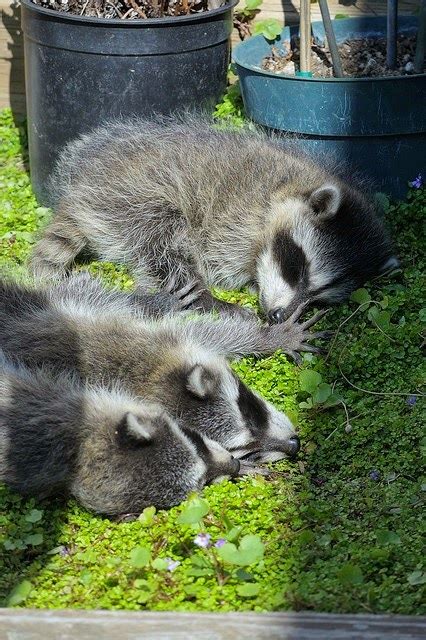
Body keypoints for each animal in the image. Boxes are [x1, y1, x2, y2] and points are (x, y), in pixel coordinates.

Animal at [0, 274, 330, 460]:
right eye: (247, 450)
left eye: (251, 412)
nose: (294, 445)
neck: (145, 375)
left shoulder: (134, 333)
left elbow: (209, 333)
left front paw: (268, 338)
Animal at [30, 113, 400, 322]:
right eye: (297, 267)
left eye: (318, 297)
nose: (279, 317)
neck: (291, 185)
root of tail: (81, 189)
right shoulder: (235, 216)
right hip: (135, 198)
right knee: (165, 246)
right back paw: (204, 299)